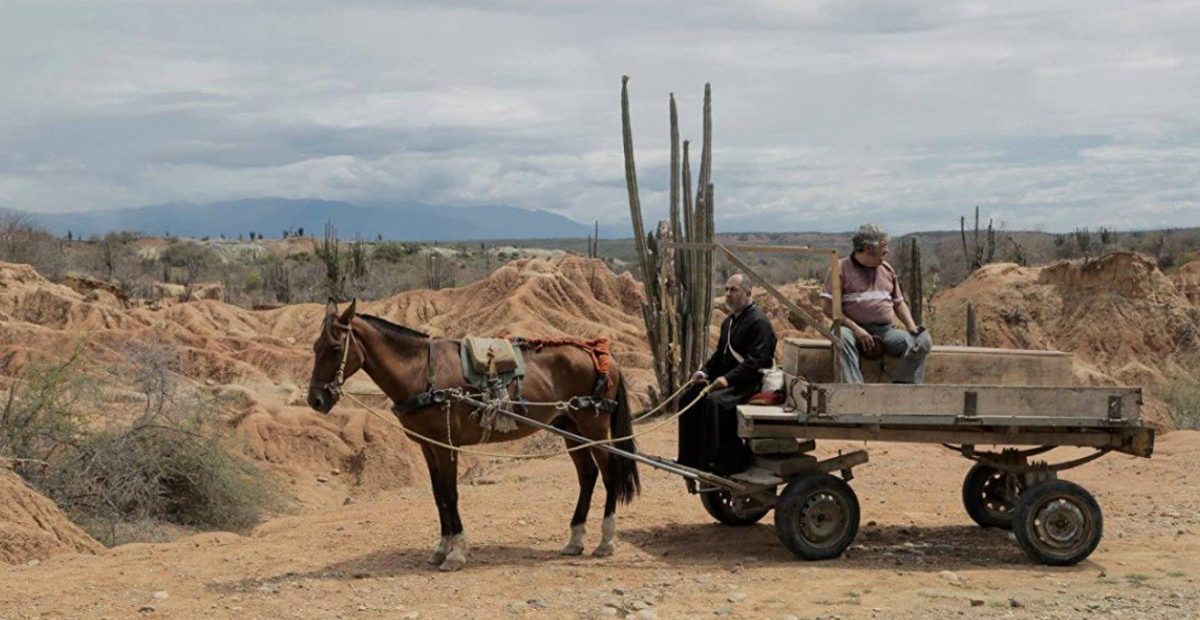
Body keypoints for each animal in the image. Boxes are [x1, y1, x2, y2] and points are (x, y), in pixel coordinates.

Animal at [309, 299, 643, 570]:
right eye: (314, 347)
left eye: (335, 349)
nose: (315, 399)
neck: (422, 373)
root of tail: (603, 355)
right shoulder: (428, 446)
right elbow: (438, 494)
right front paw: (441, 548)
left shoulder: (447, 445)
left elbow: (450, 494)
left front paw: (456, 553)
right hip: (569, 428)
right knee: (588, 475)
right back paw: (575, 540)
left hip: (593, 427)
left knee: (609, 474)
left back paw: (606, 541)